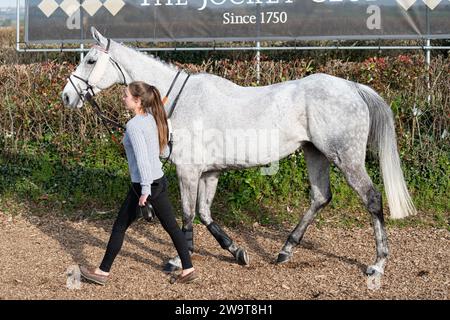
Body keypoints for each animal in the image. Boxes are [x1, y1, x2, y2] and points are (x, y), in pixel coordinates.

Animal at [62, 27, 414, 278]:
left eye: (90, 60)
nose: (67, 96)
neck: (180, 102)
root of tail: (353, 88)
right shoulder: (210, 172)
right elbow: (205, 214)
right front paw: (236, 251)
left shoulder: (188, 171)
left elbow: (187, 215)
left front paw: (179, 260)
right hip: (315, 153)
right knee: (320, 197)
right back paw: (285, 251)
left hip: (346, 157)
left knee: (371, 198)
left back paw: (378, 264)